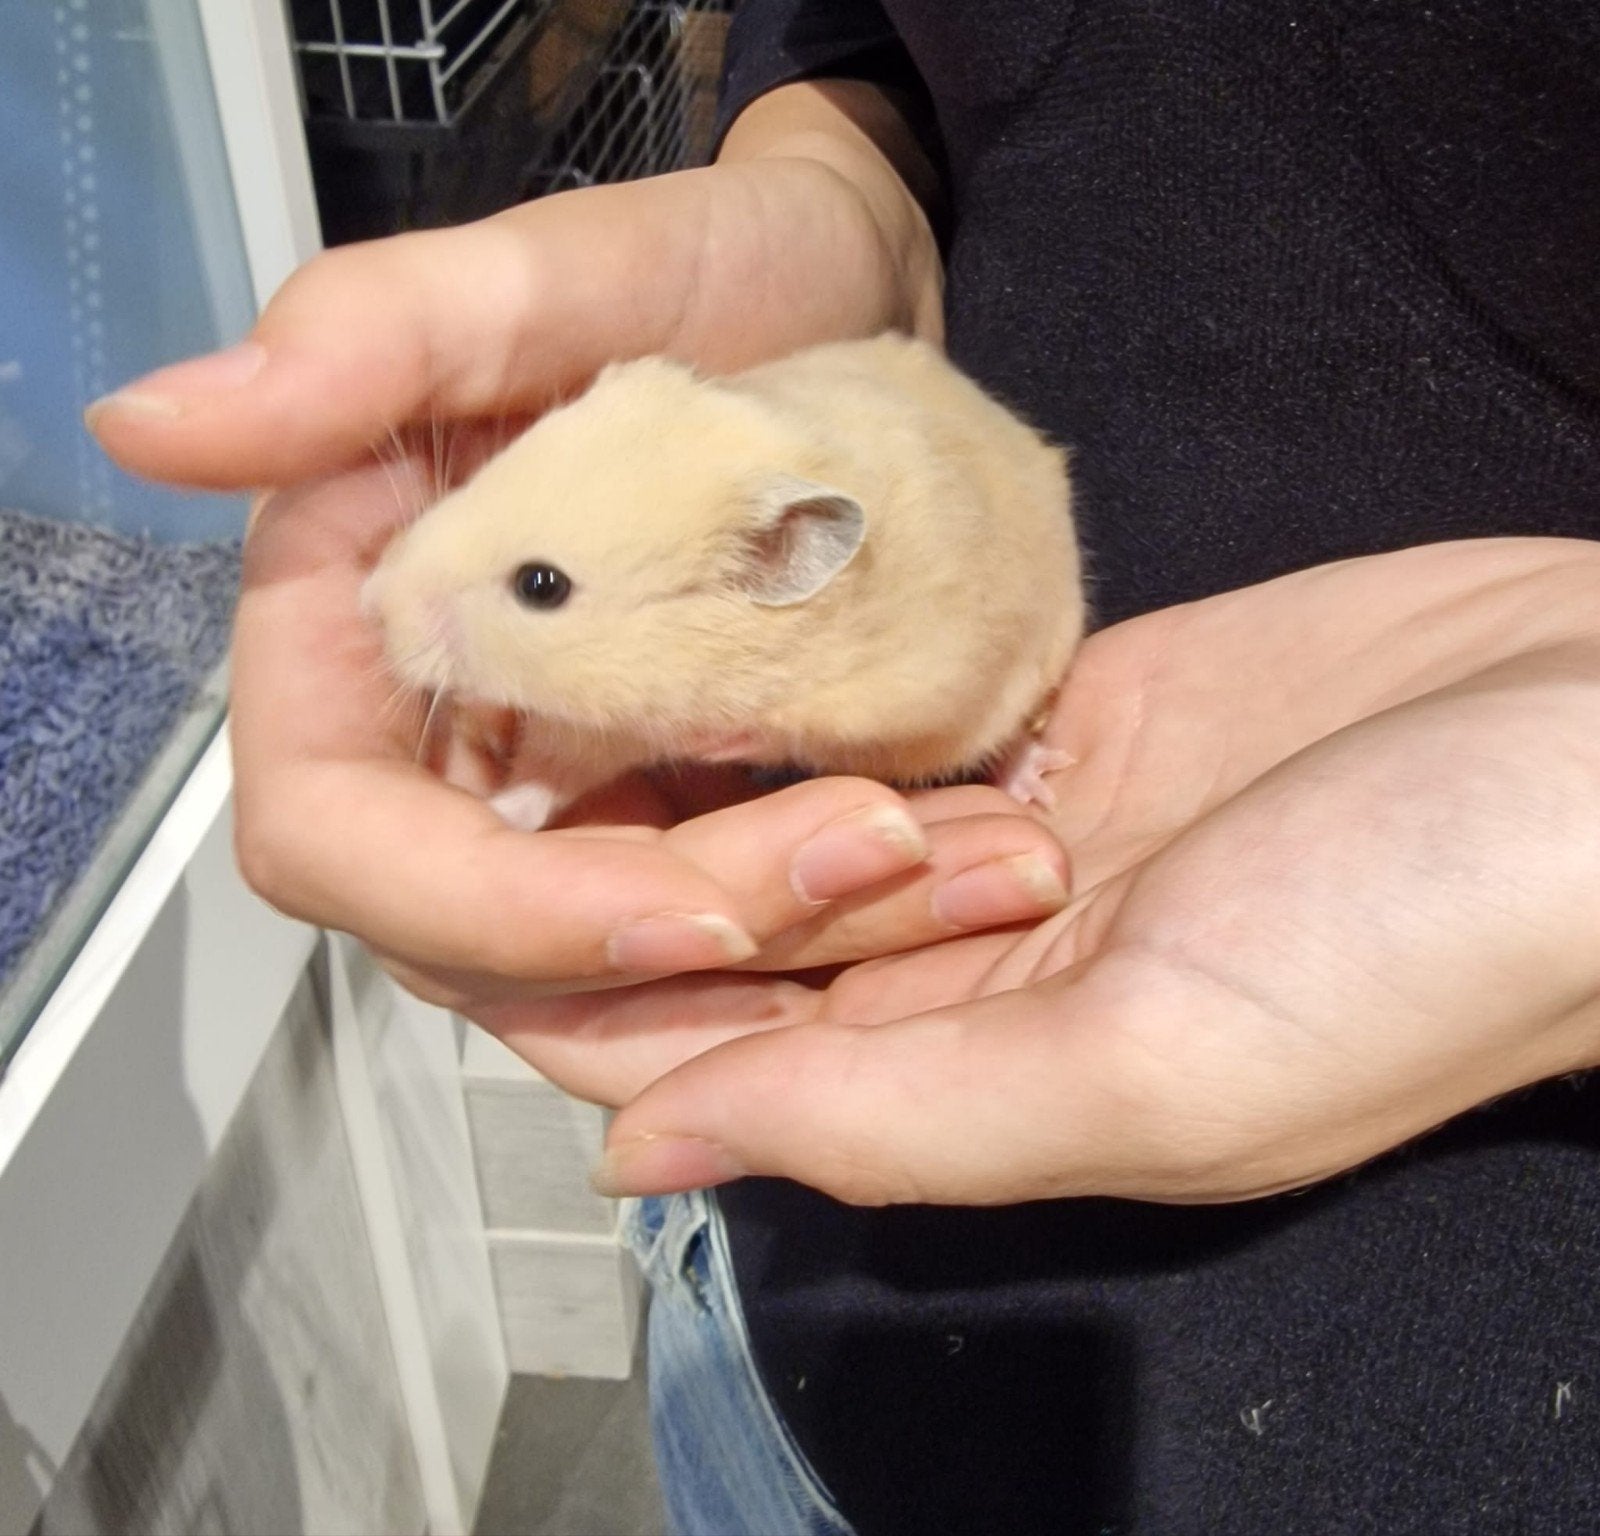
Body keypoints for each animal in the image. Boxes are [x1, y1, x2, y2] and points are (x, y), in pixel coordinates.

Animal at [364, 333, 1084, 829]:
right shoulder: (604, 725)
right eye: (475, 480)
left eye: (541, 586)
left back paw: (1040, 782)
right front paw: (492, 795)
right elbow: (549, 774)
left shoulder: (897, 689)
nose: (372, 607)